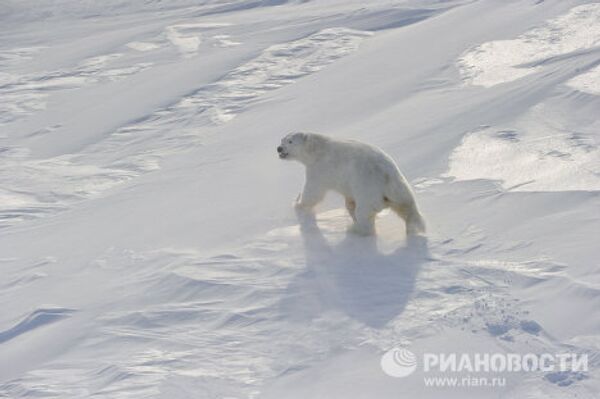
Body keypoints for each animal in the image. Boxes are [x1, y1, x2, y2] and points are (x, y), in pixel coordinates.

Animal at [278, 133, 424, 236]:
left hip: (367, 191)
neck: (316, 149)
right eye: (282, 139)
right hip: (400, 188)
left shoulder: (320, 169)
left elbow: (313, 192)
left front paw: (297, 203)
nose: (278, 148)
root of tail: (386, 176)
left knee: (365, 215)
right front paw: (349, 207)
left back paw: (355, 229)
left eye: (290, 141)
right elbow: (349, 200)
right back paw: (414, 228)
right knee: (408, 208)